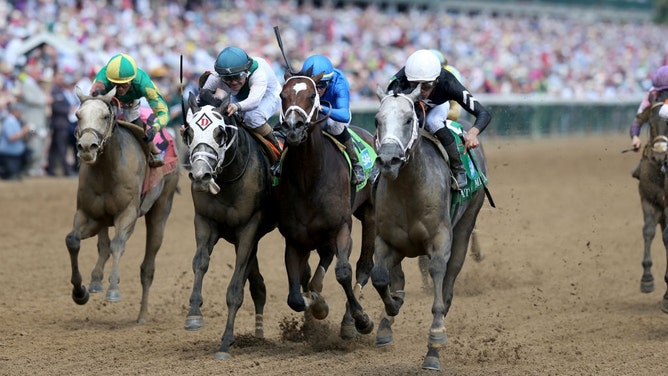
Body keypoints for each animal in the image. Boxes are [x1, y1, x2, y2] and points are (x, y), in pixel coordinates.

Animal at [66, 87, 180, 324]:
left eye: (105, 116)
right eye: (77, 115)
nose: (86, 147)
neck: (107, 170)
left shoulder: (127, 213)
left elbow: (118, 244)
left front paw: (113, 290)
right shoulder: (88, 214)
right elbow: (73, 240)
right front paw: (80, 292)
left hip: (161, 207)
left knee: (147, 267)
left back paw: (142, 315)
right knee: (103, 245)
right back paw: (95, 281)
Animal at [181, 93, 278, 358]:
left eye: (220, 133)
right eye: (189, 132)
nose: (201, 176)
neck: (227, 181)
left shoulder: (248, 229)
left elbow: (235, 289)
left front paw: (225, 343)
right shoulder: (204, 221)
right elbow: (199, 263)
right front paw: (193, 315)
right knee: (259, 287)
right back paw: (258, 334)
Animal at [276, 72, 378, 338]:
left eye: (313, 95)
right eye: (282, 95)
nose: (293, 127)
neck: (308, 180)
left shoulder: (341, 226)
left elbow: (343, 272)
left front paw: (361, 319)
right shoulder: (294, 238)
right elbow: (295, 296)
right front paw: (317, 304)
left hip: (370, 214)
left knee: (364, 265)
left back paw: (350, 320)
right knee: (322, 261)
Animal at [370, 87, 486, 370]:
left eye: (408, 119)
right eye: (377, 120)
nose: (388, 160)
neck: (409, 189)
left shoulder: (440, 239)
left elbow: (437, 275)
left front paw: (435, 342)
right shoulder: (385, 239)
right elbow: (380, 277)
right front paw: (392, 309)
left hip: (466, 225)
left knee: (449, 284)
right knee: (395, 277)